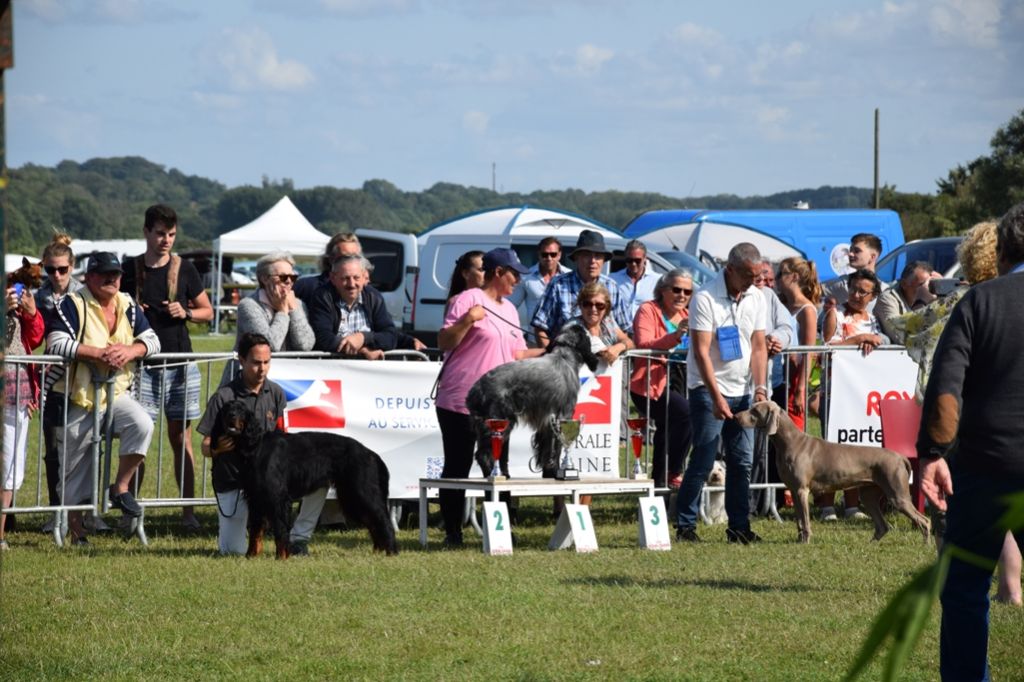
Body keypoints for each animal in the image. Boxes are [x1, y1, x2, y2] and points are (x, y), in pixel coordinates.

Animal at [737, 399, 929, 540]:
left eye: (754, 411)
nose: (736, 416)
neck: (789, 442)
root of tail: (900, 457)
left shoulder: (801, 490)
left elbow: (805, 521)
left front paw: (806, 541)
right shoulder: (793, 489)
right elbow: (799, 521)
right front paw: (799, 541)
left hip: (898, 495)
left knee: (924, 521)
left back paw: (926, 545)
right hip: (869, 494)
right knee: (883, 526)